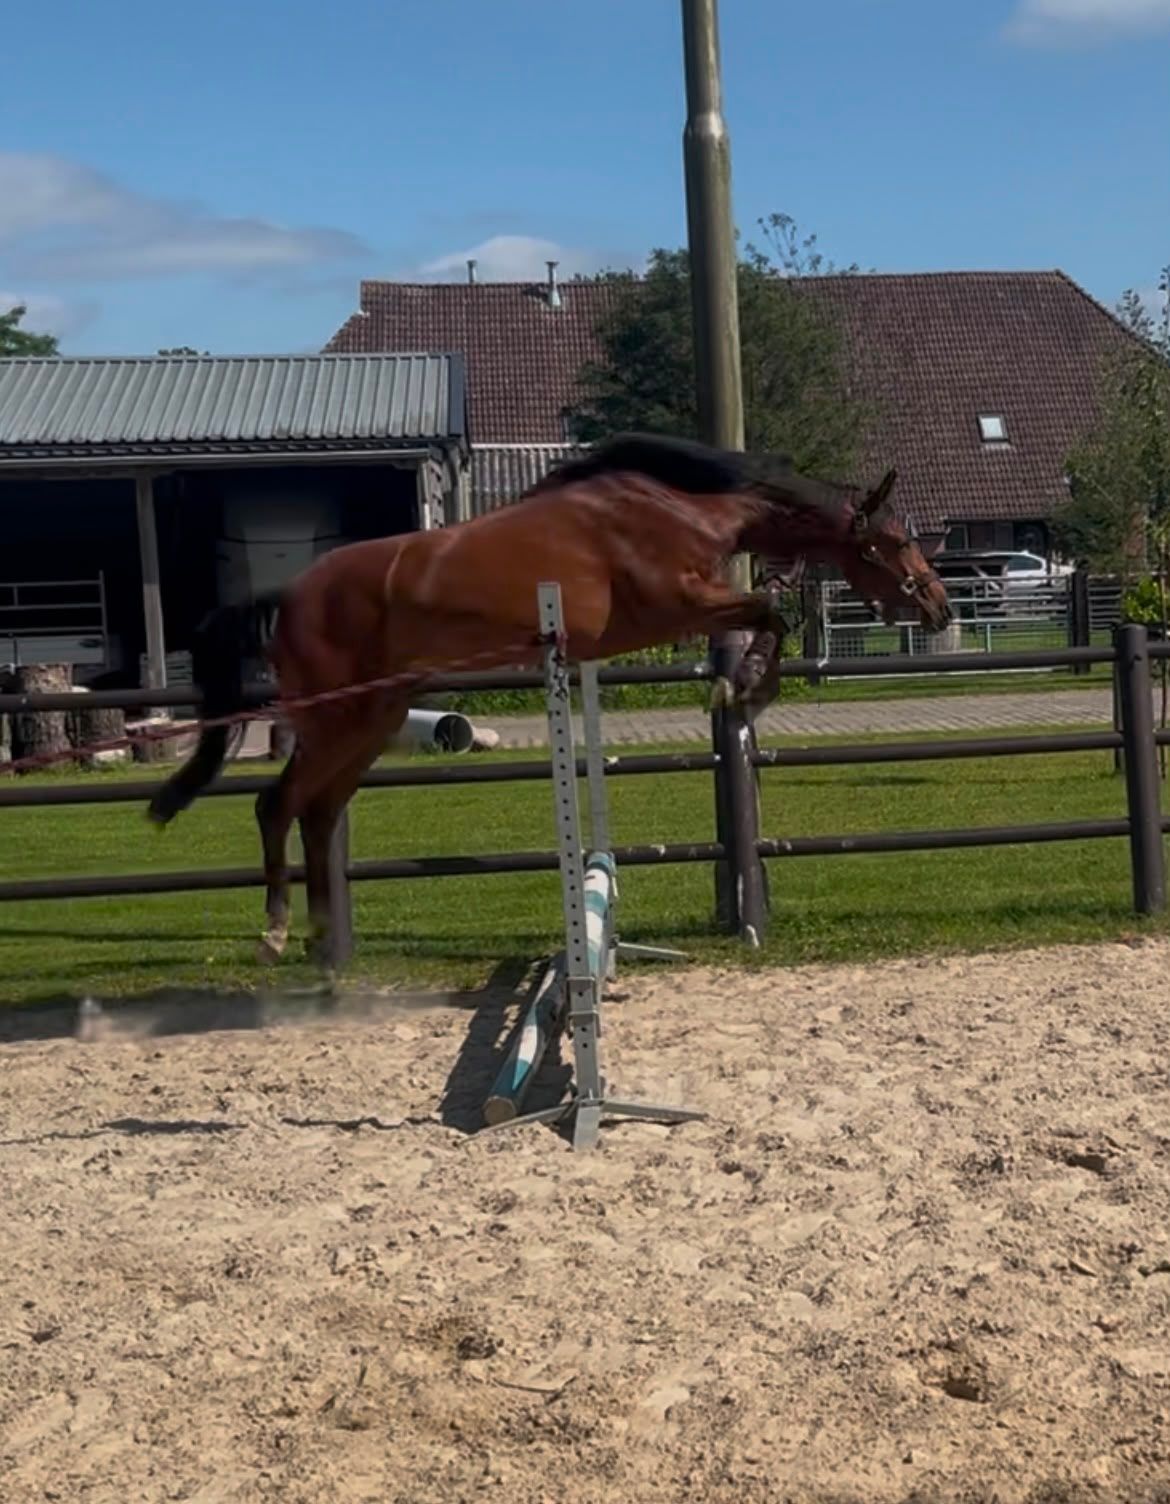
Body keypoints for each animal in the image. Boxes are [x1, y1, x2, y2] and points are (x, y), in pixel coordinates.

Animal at [146, 431, 952, 972]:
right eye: (898, 540)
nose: (940, 606)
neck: (677, 510)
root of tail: (289, 596)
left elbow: (768, 615)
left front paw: (743, 688)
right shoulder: (679, 604)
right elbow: (770, 614)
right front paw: (744, 686)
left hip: (371, 722)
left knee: (315, 814)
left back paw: (321, 943)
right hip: (333, 718)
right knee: (276, 805)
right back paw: (277, 933)